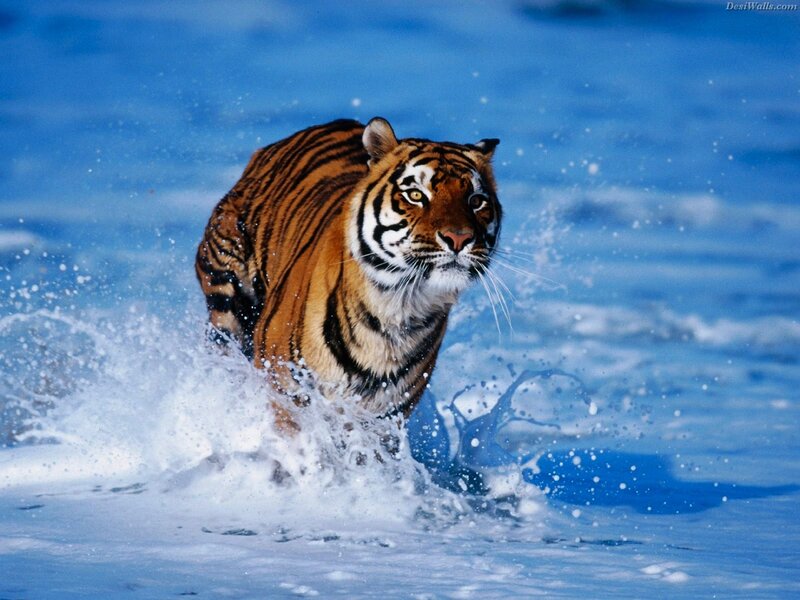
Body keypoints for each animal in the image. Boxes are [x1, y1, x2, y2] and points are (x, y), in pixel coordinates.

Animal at [195, 117, 501, 423]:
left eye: (476, 201)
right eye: (415, 195)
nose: (459, 238)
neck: (398, 310)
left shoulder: (385, 416)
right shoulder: (287, 391)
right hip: (227, 299)